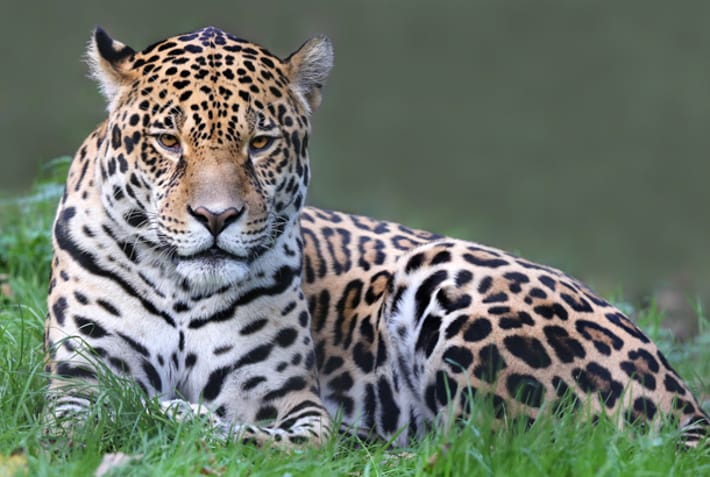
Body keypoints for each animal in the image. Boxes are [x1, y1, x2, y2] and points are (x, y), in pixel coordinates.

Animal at [45, 26, 708, 448]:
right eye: (167, 140)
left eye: (260, 142)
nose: (216, 217)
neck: (184, 290)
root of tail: (685, 397)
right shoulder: (75, 383)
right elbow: (87, 421)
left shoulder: (293, 405)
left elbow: (257, 436)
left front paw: (170, 412)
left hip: (443, 270)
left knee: (503, 445)